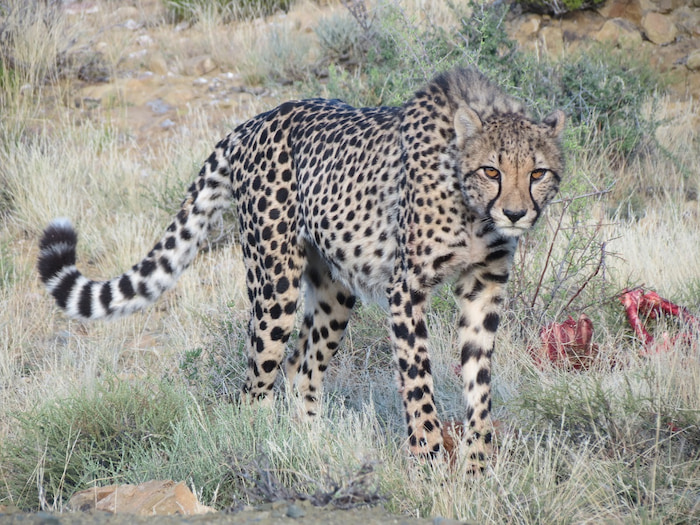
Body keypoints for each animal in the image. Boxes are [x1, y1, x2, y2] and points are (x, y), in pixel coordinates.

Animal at [38, 67, 565, 464]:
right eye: (491, 170)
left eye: (538, 172)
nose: (515, 213)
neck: (471, 205)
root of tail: (259, 118)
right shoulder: (407, 288)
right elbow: (418, 383)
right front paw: (430, 459)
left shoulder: (484, 285)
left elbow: (480, 382)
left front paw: (478, 465)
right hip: (274, 284)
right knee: (255, 384)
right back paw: (259, 450)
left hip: (334, 288)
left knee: (300, 367)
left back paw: (315, 446)